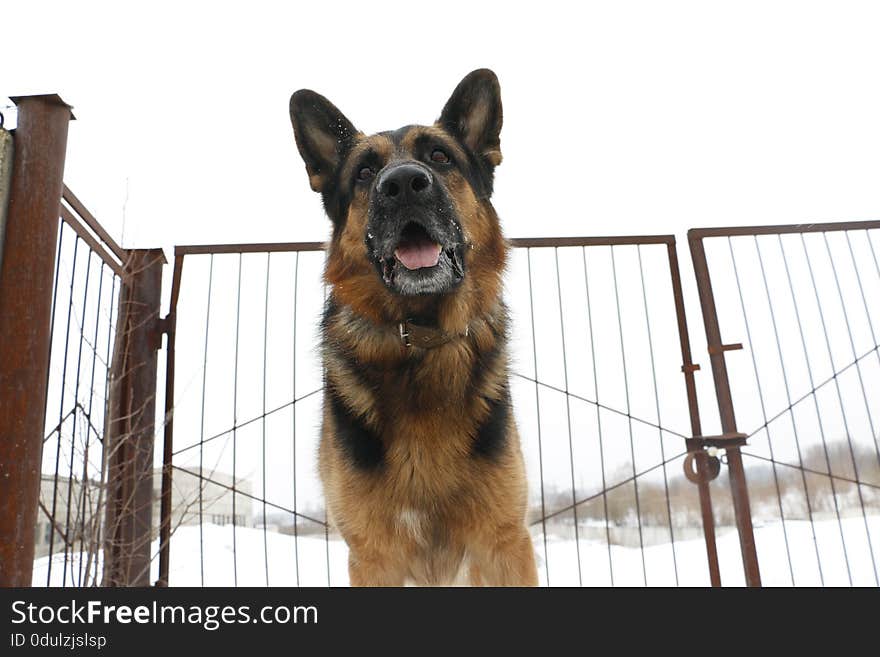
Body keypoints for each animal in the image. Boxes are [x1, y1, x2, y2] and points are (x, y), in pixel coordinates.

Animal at [290, 70, 536, 584]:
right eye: (364, 172)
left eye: (440, 157)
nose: (403, 183)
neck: (420, 339)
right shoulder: (374, 557)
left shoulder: (505, 545)